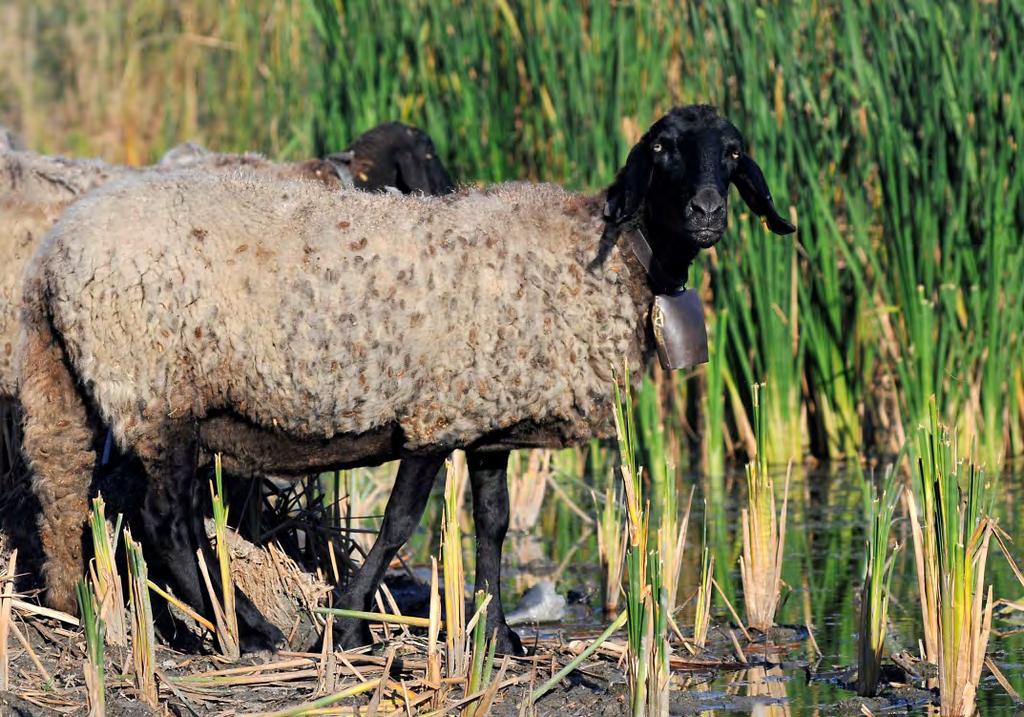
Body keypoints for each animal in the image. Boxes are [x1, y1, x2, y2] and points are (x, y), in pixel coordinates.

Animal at [19, 102, 794, 655]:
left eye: (732, 153)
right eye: (661, 149)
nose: (707, 212)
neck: (603, 250)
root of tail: (55, 253)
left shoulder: (488, 418)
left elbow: (493, 524)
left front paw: (498, 637)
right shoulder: (436, 411)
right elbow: (400, 521)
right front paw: (349, 624)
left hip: (88, 390)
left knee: (82, 501)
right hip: (157, 390)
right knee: (168, 521)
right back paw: (248, 634)